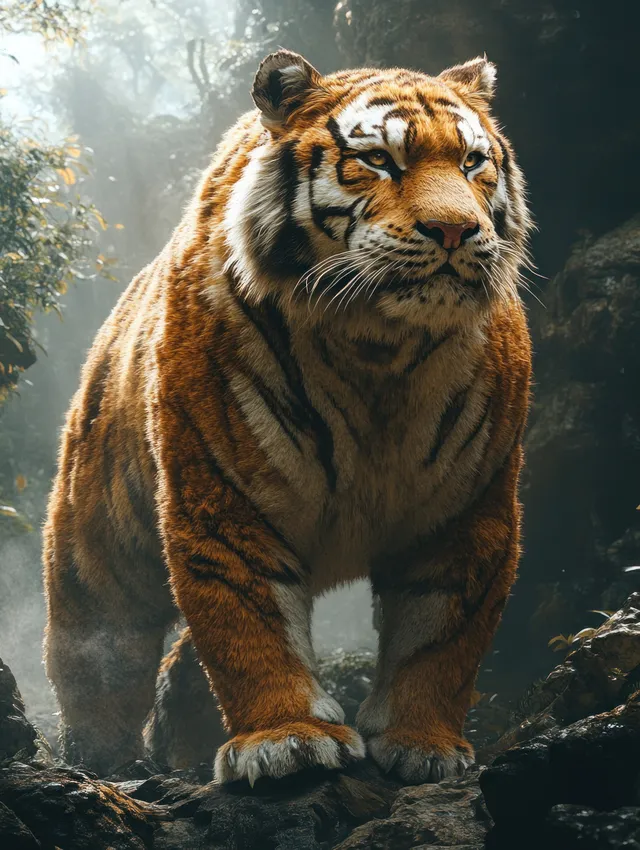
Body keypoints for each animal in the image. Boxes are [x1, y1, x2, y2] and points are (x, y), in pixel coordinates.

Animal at [43, 49, 532, 785]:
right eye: (380, 160)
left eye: (474, 162)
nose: (455, 230)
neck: (379, 347)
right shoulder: (223, 494)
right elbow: (248, 626)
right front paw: (288, 741)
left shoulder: (467, 509)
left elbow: (441, 639)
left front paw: (423, 744)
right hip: (95, 558)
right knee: (100, 661)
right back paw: (101, 765)